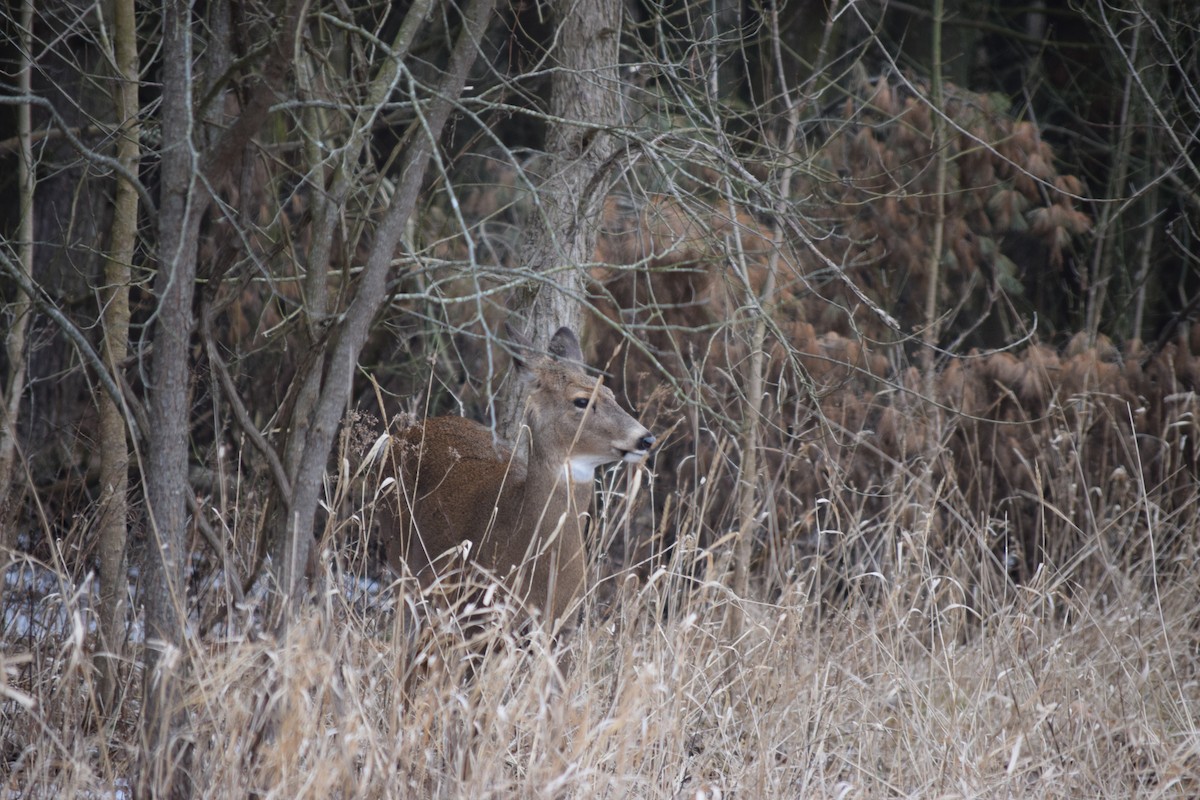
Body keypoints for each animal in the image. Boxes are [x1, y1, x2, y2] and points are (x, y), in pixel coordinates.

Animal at [379, 325, 655, 632]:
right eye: (581, 401)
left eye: (610, 392)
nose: (645, 438)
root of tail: (404, 433)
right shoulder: (476, 610)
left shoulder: (564, 624)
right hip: (400, 557)